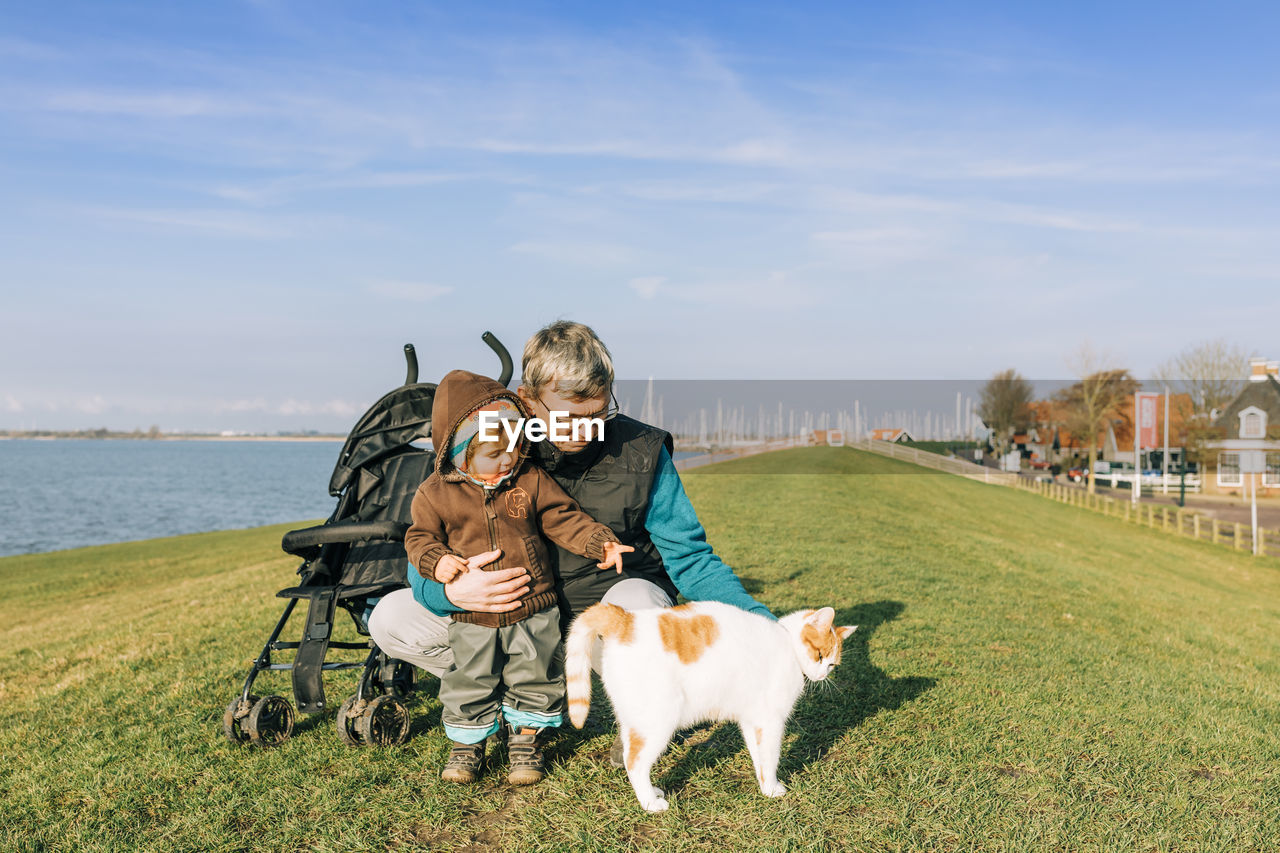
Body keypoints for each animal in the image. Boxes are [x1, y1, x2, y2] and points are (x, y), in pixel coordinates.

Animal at [565, 596, 855, 809]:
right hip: (657, 721)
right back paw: (650, 804)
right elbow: (771, 757)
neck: (788, 645)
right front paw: (773, 790)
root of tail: (625, 620)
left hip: (634, 718)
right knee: (634, 762)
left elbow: (760, 758)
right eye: (820, 655)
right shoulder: (771, 722)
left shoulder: (753, 721)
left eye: (832, 664)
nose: (822, 675)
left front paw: (765, 786)